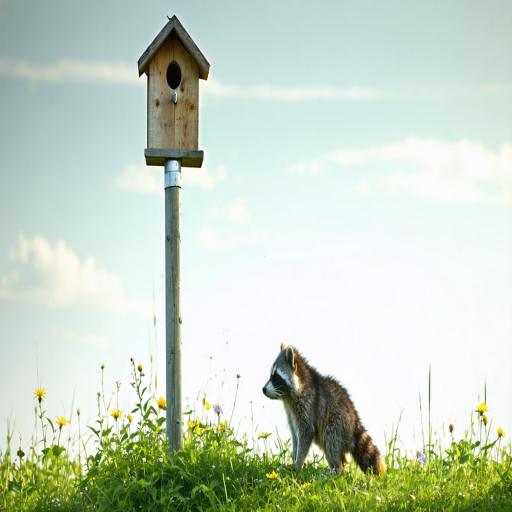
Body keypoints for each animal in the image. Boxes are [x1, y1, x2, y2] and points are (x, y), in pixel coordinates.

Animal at [264, 344, 384, 476]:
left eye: (276, 377)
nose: (263, 389)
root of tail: (355, 422)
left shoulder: (307, 405)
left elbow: (307, 432)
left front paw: (298, 464)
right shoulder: (290, 411)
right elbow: (295, 434)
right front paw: (294, 456)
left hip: (339, 423)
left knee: (331, 439)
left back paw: (337, 470)